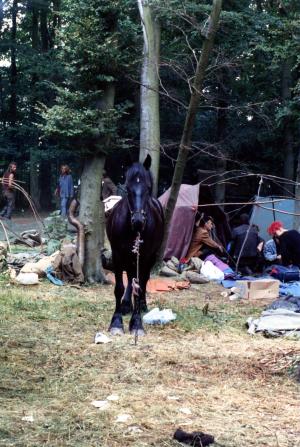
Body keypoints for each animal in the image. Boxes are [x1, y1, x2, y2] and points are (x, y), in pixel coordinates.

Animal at [106, 156, 164, 334]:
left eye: (148, 188)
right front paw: (116, 322)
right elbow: (119, 287)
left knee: (142, 281)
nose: (138, 221)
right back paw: (126, 305)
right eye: (127, 188)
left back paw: (141, 306)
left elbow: (140, 286)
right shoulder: (117, 255)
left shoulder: (144, 257)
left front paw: (137, 323)